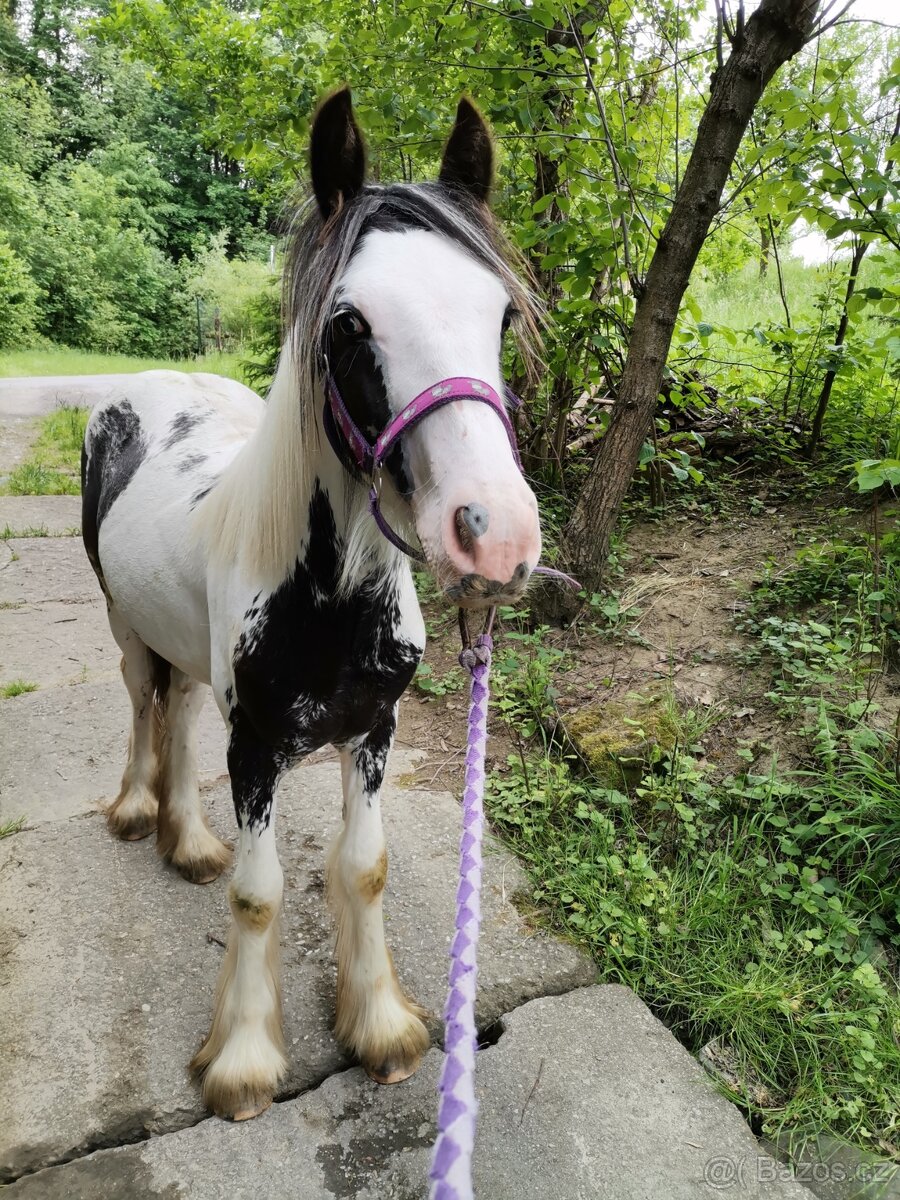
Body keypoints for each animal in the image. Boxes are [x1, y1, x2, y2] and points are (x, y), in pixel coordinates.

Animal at [82, 88, 542, 1118]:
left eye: (499, 316)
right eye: (349, 324)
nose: (494, 537)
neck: (330, 604)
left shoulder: (374, 729)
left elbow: (363, 868)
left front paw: (383, 1029)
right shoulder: (255, 745)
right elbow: (260, 894)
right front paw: (246, 1061)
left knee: (177, 709)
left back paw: (188, 841)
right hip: (126, 626)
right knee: (143, 703)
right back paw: (138, 812)